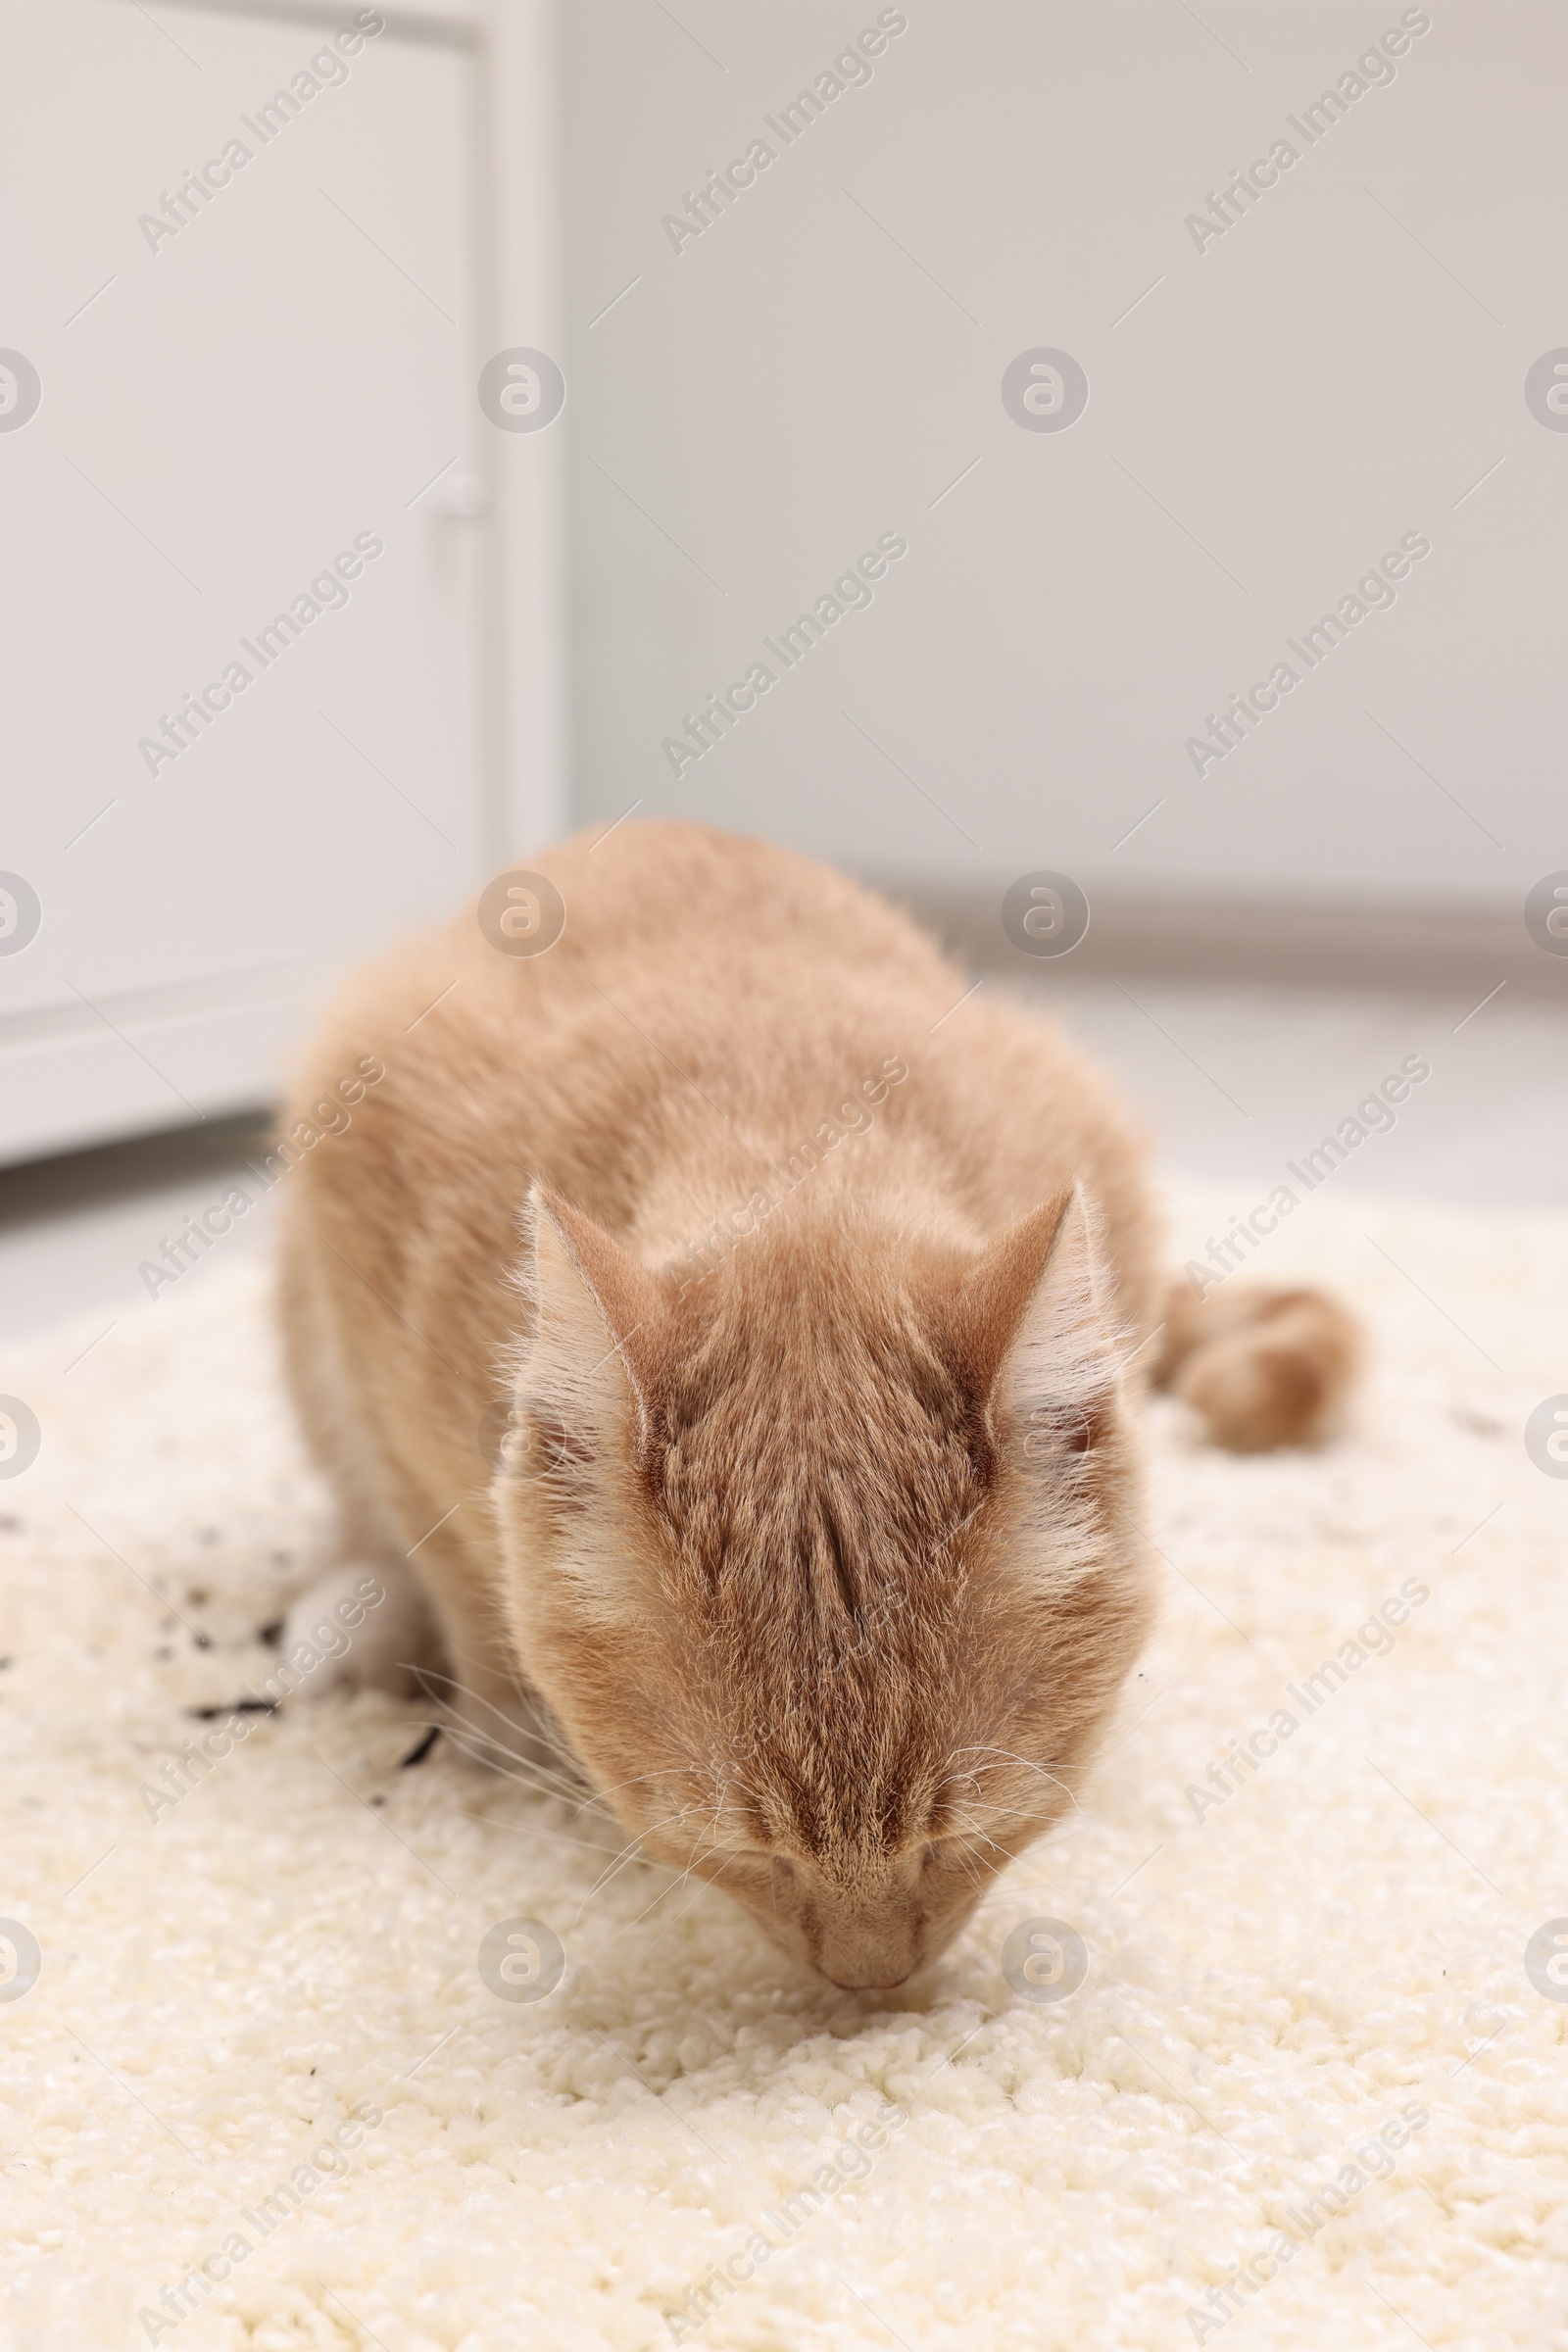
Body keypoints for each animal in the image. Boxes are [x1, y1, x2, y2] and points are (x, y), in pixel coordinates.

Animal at [275, 823, 1353, 1984]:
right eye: (739, 1846)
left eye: (962, 1831)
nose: (870, 1981)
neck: (791, 1132)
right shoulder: (359, 1226)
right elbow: (448, 1548)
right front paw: (504, 1716)